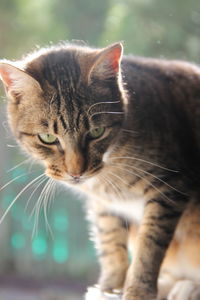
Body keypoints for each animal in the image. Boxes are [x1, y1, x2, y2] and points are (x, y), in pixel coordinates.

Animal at [0, 42, 200, 300]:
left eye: (96, 132)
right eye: (47, 138)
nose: (76, 172)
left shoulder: (171, 186)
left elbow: (149, 246)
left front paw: (138, 290)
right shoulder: (105, 206)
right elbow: (111, 243)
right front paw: (110, 287)